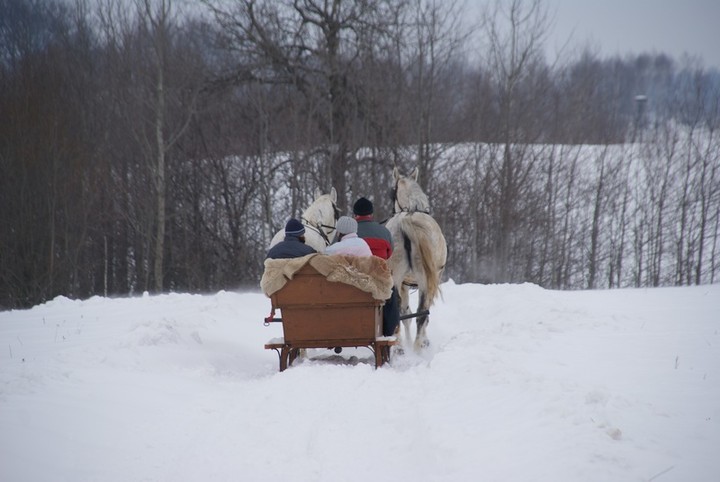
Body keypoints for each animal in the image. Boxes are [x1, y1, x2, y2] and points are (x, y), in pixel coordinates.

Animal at [388, 168, 444, 352]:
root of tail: (407, 220)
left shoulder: (405, 283)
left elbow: (408, 314)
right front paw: (424, 340)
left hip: (398, 277)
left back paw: (401, 347)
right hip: (420, 278)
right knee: (420, 312)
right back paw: (415, 346)